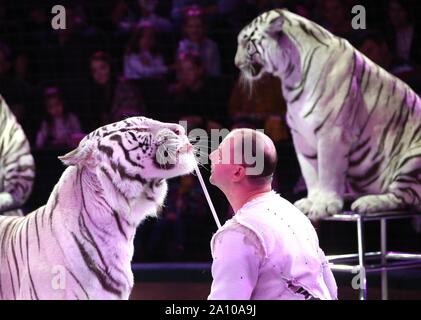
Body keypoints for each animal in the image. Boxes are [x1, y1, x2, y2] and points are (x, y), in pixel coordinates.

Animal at [235, 9, 420, 220]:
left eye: (247, 42)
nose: (236, 63)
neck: (290, 75)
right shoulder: (301, 137)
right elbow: (310, 172)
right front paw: (311, 202)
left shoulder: (332, 131)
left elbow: (328, 171)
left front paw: (325, 204)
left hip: (411, 160)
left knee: (407, 198)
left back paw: (367, 203)